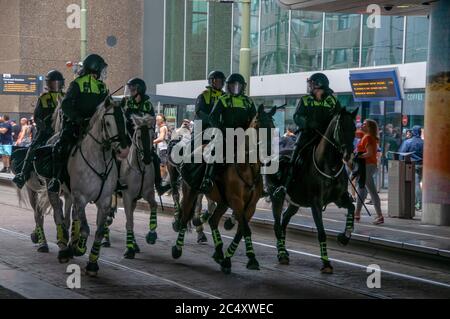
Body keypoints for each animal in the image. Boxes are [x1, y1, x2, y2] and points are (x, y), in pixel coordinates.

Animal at [67, 102, 129, 278]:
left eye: (126, 121)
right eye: (107, 123)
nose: (124, 151)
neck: (98, 160)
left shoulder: (105, 202)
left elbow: (100, 232)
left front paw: (93, 264)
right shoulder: (80, 197)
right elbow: (85, 229)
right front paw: (80, 248)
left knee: (73, 215)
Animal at [172, 105, 278, 276]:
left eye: (273, 127)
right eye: (259, 125)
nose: (270, 154)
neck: (247, 167)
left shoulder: (250, 206)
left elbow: (242, 231)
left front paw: (228, 259)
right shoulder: (237, 201)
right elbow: (245, 229)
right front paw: (251, 259)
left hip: (223, 201)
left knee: (213, 220)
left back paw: (219, 252)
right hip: (191, 191)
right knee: (184, 217)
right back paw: (177, 248)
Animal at [268, 109, 358, 274]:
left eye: (355, 128)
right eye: (341, 128)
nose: (349, 156)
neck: (329, 165)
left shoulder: (339, 198)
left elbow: (351, 207)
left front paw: (345, 236)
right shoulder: (316, 203)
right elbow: (321, 233)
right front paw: (326, 263)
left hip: (295, 202)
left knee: (284, 220)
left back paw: (283, 251)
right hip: (276, 197)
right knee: (277, 225)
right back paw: (282, 254)